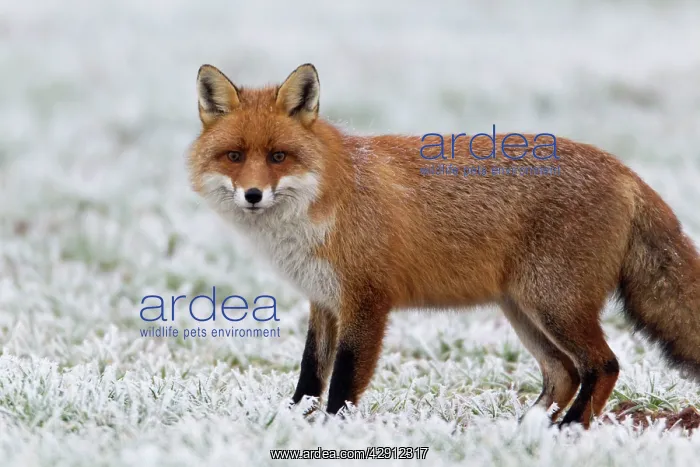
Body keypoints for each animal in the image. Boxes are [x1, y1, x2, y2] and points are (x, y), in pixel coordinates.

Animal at [187, 63, 700, 428]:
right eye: (234, 156)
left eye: (278, 156)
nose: (253, 195)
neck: (327, 201)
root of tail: (626, 170)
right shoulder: (324, 301)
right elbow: (311, 375)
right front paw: (289, 423)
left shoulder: (366, 301)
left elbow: (344, 383)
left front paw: (334, 432)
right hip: (525, 311)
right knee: (565, 373)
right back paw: (524, 431)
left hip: (554, 305)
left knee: (604, 366)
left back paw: (568, 431)